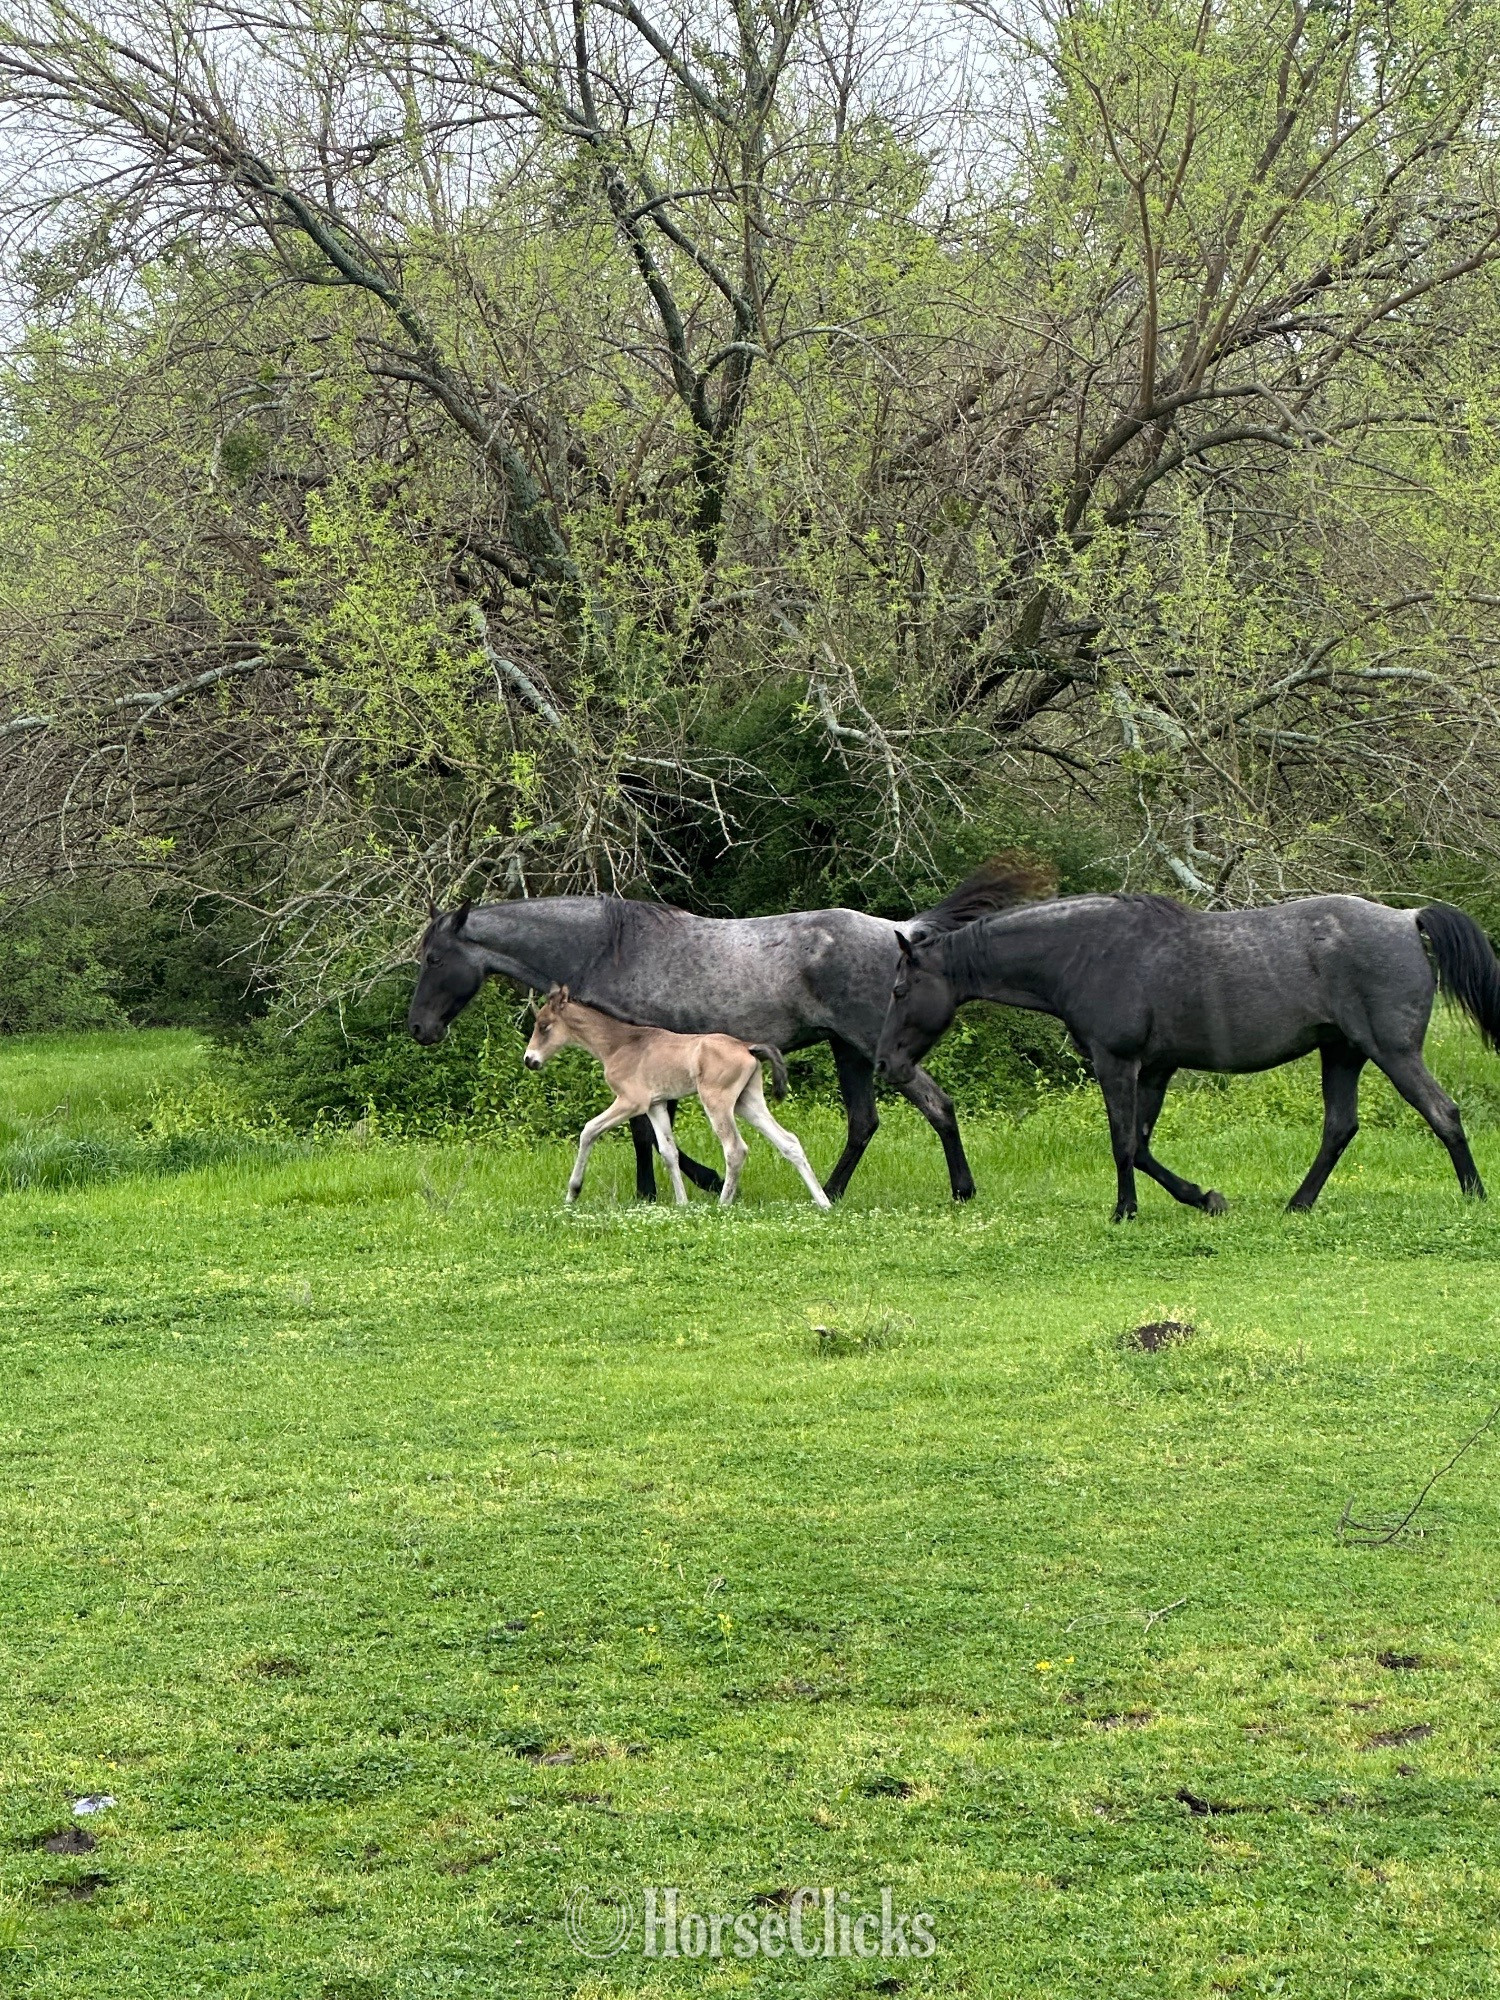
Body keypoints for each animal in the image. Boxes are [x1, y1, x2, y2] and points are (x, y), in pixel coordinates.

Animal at [523, 987, 830, 1209]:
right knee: (789, 1142)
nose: (529, 1060)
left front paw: (572, 1193)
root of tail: (748, 1047)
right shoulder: (656, 1104)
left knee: (735, 1148)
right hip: (748, 1102)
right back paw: (824, 1202)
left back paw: (723, 1204)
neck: (619, 1044)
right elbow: (668, 1151)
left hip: (716, 1102)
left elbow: (589, 1130)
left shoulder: (631, 1101)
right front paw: (682, 1203)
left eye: (544, 1025)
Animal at [874, 892, 1500, 1220]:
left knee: (1443, 1113)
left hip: (1391, 1051)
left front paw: (1125, 1211)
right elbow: (1143, 1146)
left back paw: (1474, 1196)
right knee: (1339, 1128)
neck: (1084, 951)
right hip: (1342, 1054)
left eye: (900, 990)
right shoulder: (1155, 1069)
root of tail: (1407, 918)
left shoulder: (1117, 1062)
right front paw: (1204, 1198)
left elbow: (1123, 1142)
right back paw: (1298, 1203)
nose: (883, 1063)